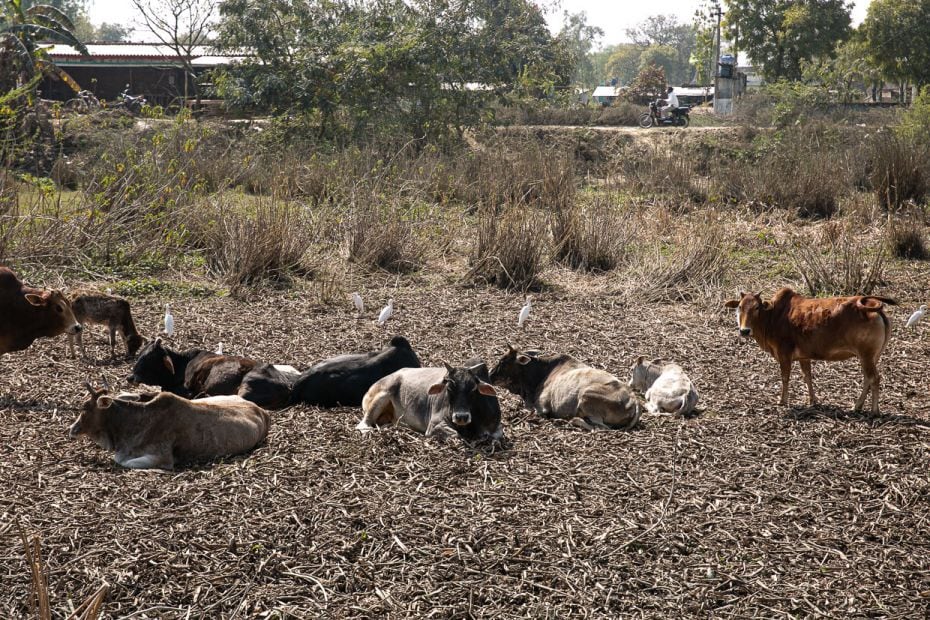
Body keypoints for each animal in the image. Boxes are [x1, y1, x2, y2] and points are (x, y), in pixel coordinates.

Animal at [356, 360, 500, 444]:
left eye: (473, 389)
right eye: (449, 388)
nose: (461, 416)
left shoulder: (496, 429)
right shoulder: (435, 424)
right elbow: (456, 435)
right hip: (382, 395)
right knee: (363, 423)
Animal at [720, 288, 896, 414]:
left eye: (757, 307)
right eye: (740, 307)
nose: (744, 331)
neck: (773, 317)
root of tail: (874, 308)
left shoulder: (784, 354)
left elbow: (785, 377)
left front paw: (782, 401)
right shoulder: (804, 357)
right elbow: (808, 377)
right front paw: (813, 401)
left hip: (866, 355)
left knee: (874, 378)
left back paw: (874, 411)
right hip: (871, 357)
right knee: (867, 378)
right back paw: (857, 406)